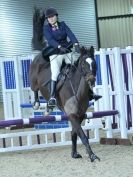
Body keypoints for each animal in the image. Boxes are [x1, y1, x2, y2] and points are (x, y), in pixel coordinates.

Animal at [29, 6, 100, 162]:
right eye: (83, 65)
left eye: (94, 63)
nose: (91, 80)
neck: (77, 91)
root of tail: (41, 54)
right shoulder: (72, 115)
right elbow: (83, 136)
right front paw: (92, 155)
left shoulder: (80, 115)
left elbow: (74, 134)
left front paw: (74, 153)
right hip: (34, 82)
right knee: (34, 89)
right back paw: (39, 104)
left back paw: (48, 108)